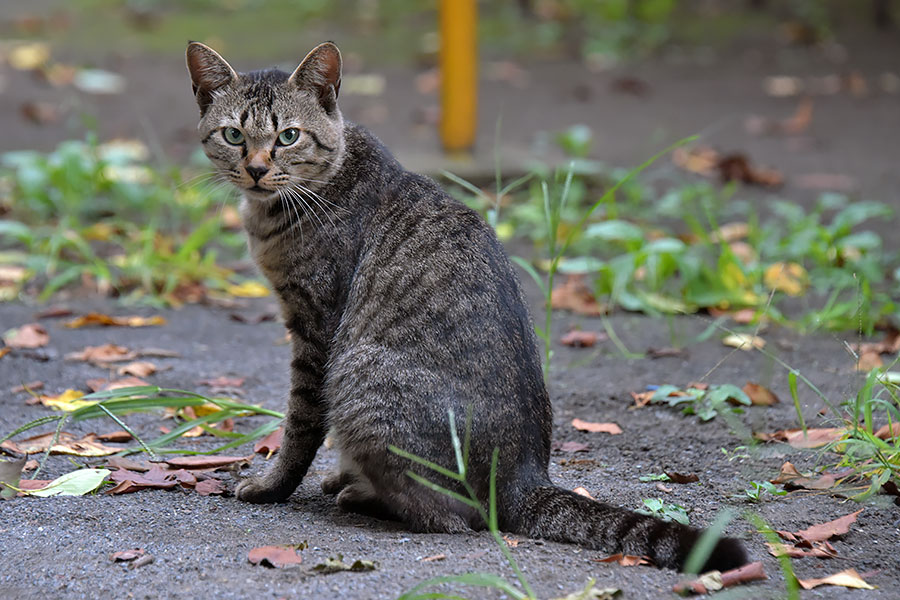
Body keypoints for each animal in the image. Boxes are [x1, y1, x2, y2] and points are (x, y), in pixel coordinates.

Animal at [185, 42, 744, 572]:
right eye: (234, 136)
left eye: (288, 137)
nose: (257, 169)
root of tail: (525, 478)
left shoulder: (316, 327)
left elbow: (300, 425)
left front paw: (273, 485)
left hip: (359, 376)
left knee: (452, 517)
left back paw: (364, 495)